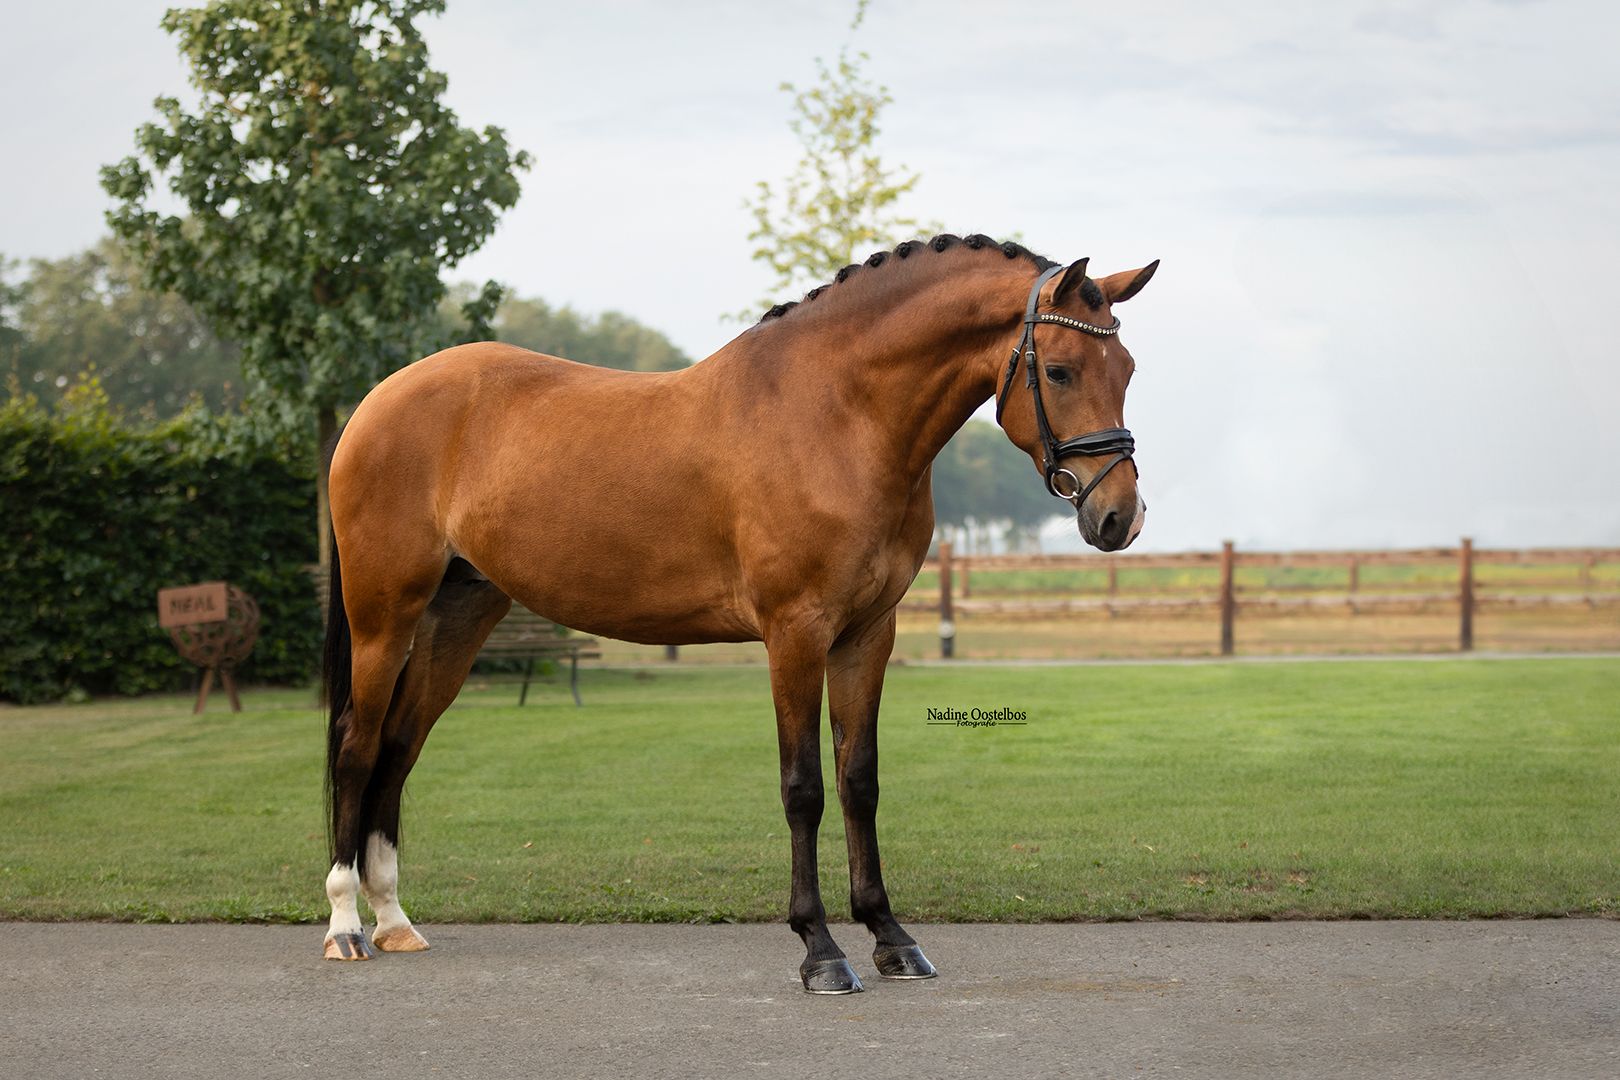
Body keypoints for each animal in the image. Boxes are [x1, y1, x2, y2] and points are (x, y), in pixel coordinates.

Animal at [320, 233, 1158, 993]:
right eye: (1059, 369)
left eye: (1126, 370)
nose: (1120, 516)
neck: (836, 414)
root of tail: (378, 401)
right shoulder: (795, 633)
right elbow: (803, 787)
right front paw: (821, 950)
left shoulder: (866, 636)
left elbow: (859, 780)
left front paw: (891, 938)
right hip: (384, 615)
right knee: (359, 748)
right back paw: (346, 927)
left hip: (459, 617)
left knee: (399, 749)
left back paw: (394, 921)